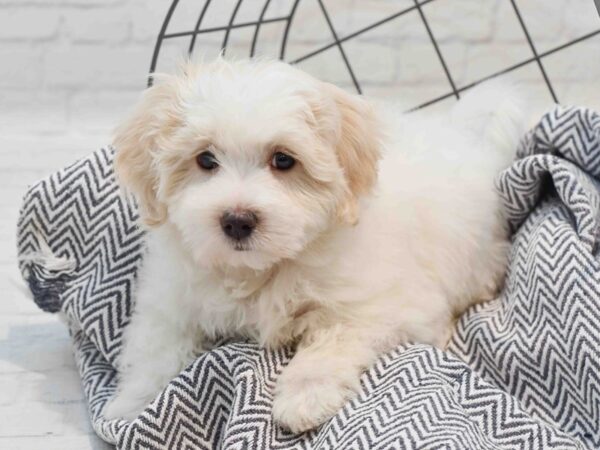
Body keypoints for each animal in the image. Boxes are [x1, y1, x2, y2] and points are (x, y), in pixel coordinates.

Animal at [104, 58, 524, 430]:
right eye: (205, 160)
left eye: (283, 160)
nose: (237, 220)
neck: (263, 269)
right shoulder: (170, 298)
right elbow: (155, 348)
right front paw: (131, 404)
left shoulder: (380, 303)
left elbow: (332, 338)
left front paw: (305, 398)